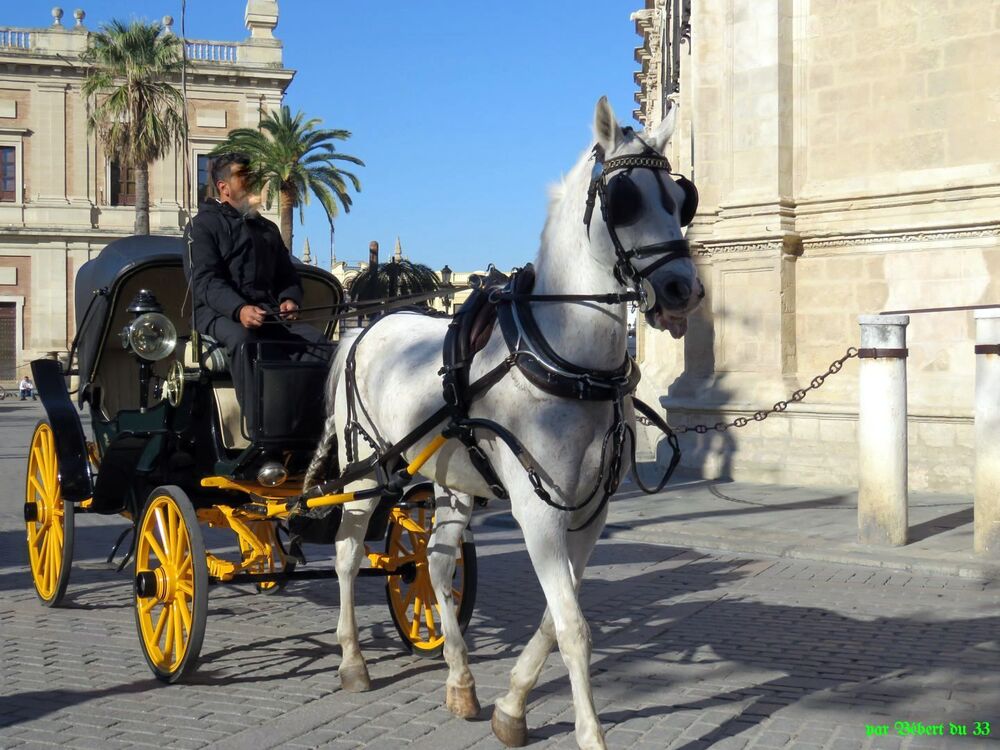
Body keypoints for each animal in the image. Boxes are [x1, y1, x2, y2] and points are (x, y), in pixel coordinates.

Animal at [304, 100, 704, 750]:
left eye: (679, 198)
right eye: (624, 200)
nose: (681, 288)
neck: (564, 361)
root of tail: (364, 328)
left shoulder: (591, 512)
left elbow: (555, 616)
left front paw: (511, 706)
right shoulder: (537, 511)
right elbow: (573, 627)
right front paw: (589, 734)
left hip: (450, 480)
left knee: (437, 564)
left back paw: (460, 680)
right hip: (364, 473)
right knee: (344, 555)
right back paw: (353, 661)